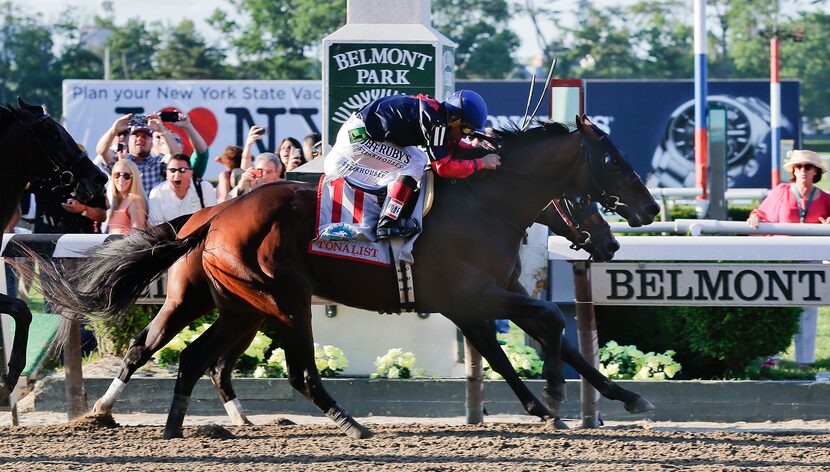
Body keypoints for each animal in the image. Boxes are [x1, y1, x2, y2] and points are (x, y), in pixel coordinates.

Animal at [37, 115, 664, 438]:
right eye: (609, 160)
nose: (647, 211)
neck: (485, 202)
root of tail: (212, 214)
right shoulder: (471, 297)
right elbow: (542, 329)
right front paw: (554, 398)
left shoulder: (484, 298)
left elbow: (540, 342)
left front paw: (621, 398)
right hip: (275, 298)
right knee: (281, 368)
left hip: (236, 304)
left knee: (189, 356)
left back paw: (173, 425)